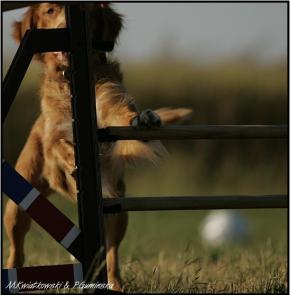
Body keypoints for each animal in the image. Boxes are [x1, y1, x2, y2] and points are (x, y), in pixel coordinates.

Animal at [4, 3, 191, 292]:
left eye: (87, 11)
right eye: (49, 11)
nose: (62, 26)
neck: (70, 79)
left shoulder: (110, 105)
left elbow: (123, 116)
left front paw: (144, 118)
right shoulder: (53, 135)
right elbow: (58, 145)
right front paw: (72, 160)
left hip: (118, 211)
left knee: (111, 254)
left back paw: (114, 283)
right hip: (17, 206)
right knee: (17, 250)